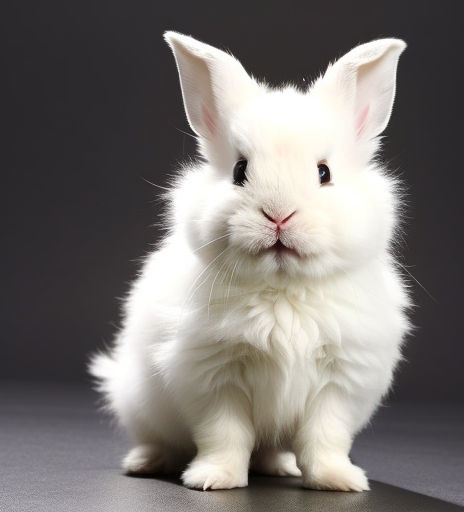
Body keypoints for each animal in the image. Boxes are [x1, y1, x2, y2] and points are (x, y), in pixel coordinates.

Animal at [89, 31, 410, 492]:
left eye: (324, 173)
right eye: (240, 170)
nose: (278, 215)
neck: (282, 289)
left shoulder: (338, 384)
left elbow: (325, 438)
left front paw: (338, 481)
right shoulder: (213, 377)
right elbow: (225, 435)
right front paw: (213, 479)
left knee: (271, 450)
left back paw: (280, 466)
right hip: (138, 402)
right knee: (161, 440)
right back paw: (145, 463)